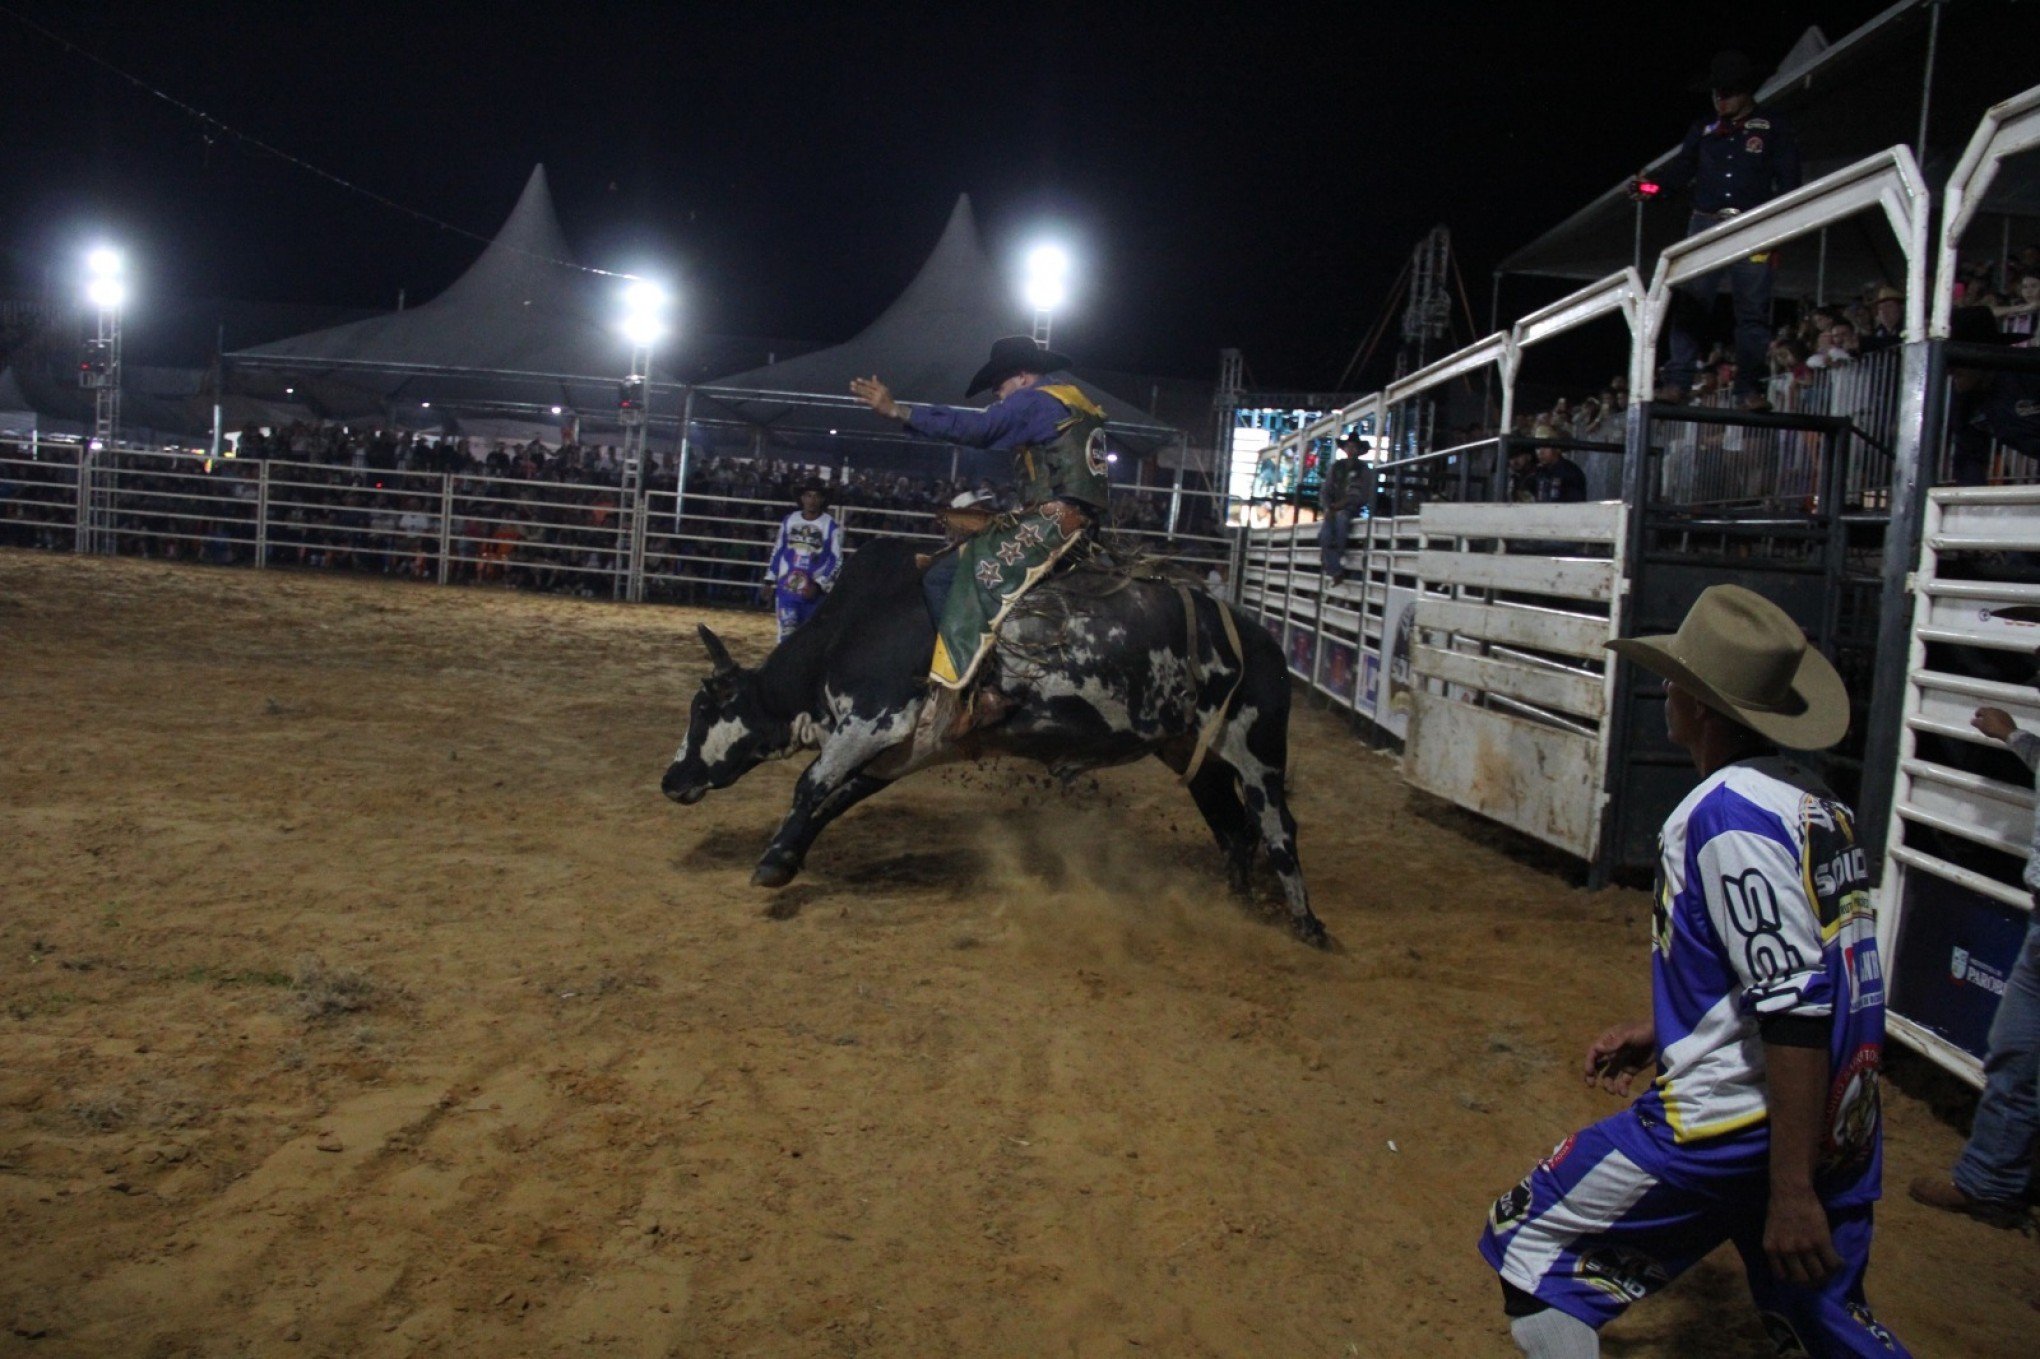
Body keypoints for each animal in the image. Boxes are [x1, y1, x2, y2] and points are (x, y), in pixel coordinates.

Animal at [652, 538, 1321, 942]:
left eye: (704, 709)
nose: (670, 778)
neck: (854, 630)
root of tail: (1266, 643)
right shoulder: (905, 746)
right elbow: (838, 795)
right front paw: (783, 859)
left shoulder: (871, 718)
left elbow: (810, 784)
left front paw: (771, 862)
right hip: (1193, 751)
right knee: (1231, 827)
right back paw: (1234, 906)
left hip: (1259, 749)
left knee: (1276, 827)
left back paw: (1308, 924)